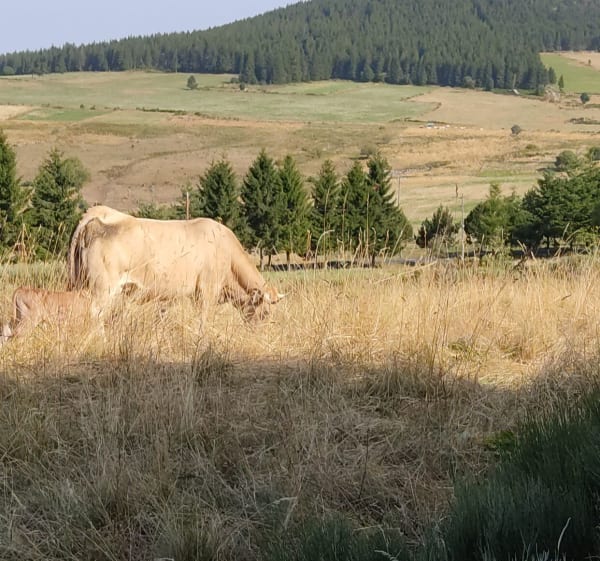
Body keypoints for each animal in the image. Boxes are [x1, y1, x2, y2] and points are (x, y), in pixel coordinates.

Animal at [67, 205, 283, 321]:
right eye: (266, 313)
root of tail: (99, 213)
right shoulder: (208, 290)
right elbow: (204, 321)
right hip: (104, 287)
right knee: (95, 314)